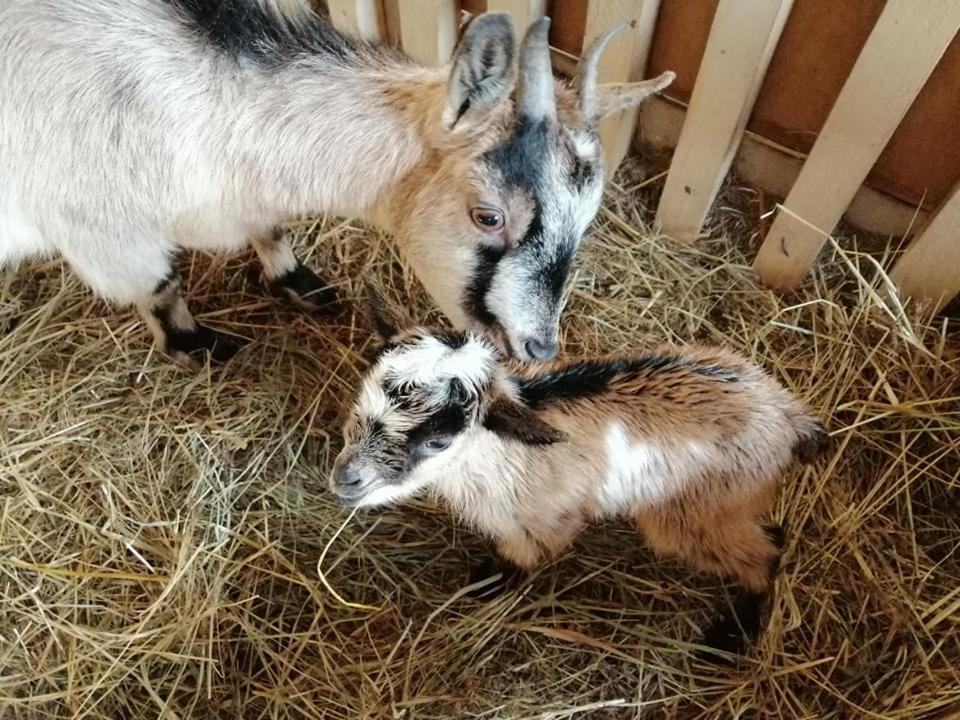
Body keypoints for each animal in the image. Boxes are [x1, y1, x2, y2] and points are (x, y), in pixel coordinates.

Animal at [330, 306, 824, 656]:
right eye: (363, 395)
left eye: (437, 440)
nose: (346, 480)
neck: (500, 452)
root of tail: (788, 416)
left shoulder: (546, 519)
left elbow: (523, 554)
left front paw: (487, 582)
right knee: (771, 534)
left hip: (693, 513)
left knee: (762, 557)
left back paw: (728, 639)